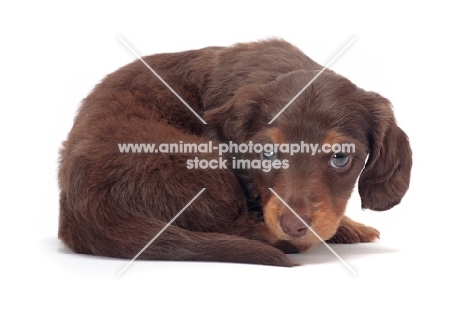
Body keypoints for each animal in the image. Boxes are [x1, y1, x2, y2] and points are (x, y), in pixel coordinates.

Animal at [58, 39, 414, 268]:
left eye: (340, 158)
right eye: (266, 153)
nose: (295, 226)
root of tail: (83, 213)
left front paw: (349, 225)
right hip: (198, 164)